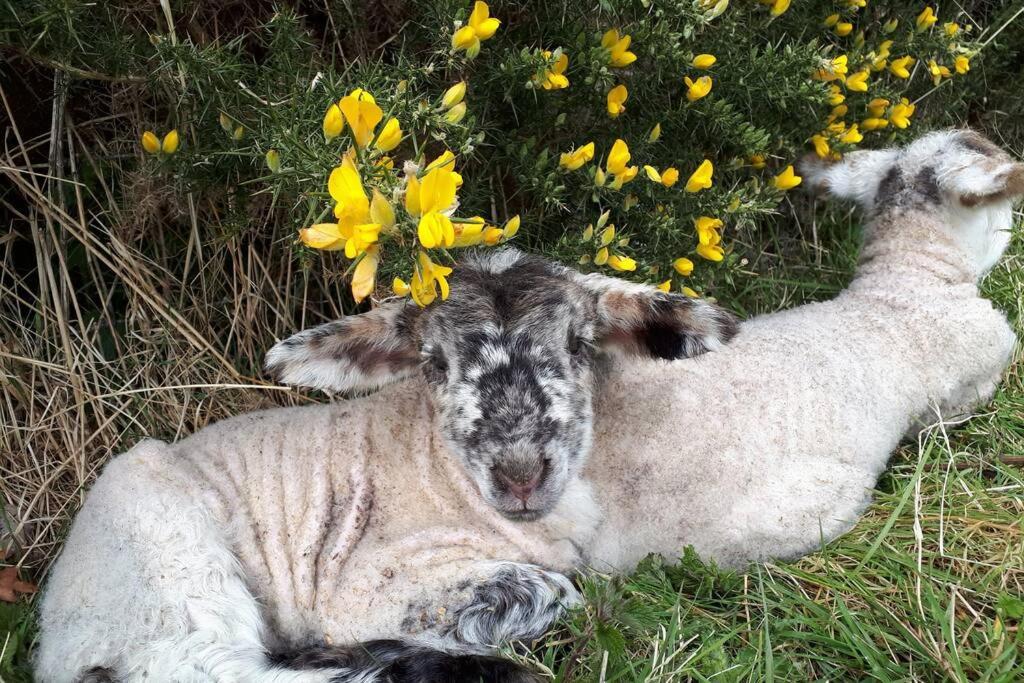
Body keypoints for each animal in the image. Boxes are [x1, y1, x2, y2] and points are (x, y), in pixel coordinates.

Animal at [34, 254, 737, 679]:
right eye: (434, 363)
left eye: (577, 343)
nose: (519, 474)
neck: (439, 470)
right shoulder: (368, 584)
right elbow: (560, 591)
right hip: (168, 573)